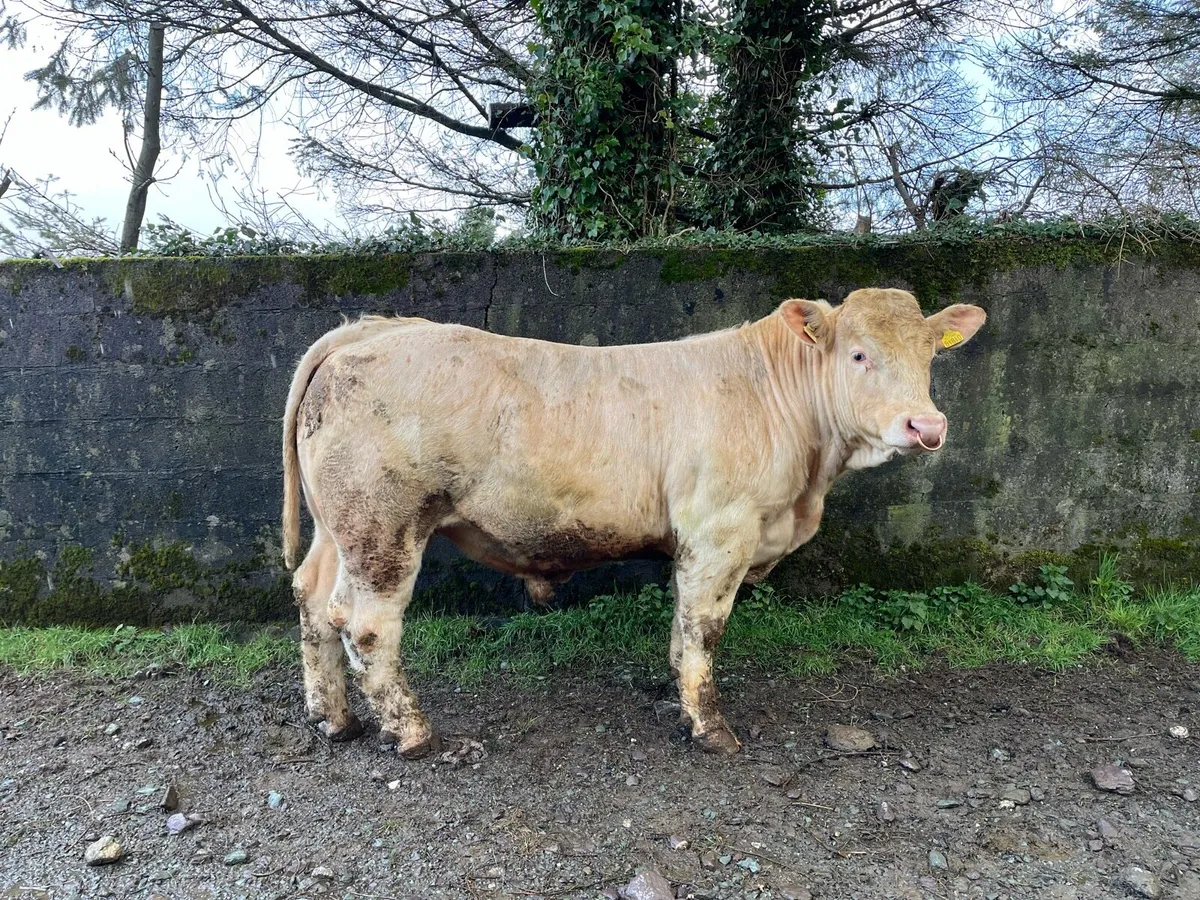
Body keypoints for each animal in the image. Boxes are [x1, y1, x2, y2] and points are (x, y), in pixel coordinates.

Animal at [281, 288, 986, 758]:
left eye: (930, 355)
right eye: (860, 354)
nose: (927, 425)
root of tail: (371, 329)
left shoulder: (692, 539)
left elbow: (680, 624)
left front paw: (679, 700)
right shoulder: (722, 529)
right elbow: (705, 628)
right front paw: (710, 728)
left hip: (336, 526)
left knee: (313, 599)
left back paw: (333, 719)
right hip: (382, 526)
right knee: (367, 624)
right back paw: (410, 731)